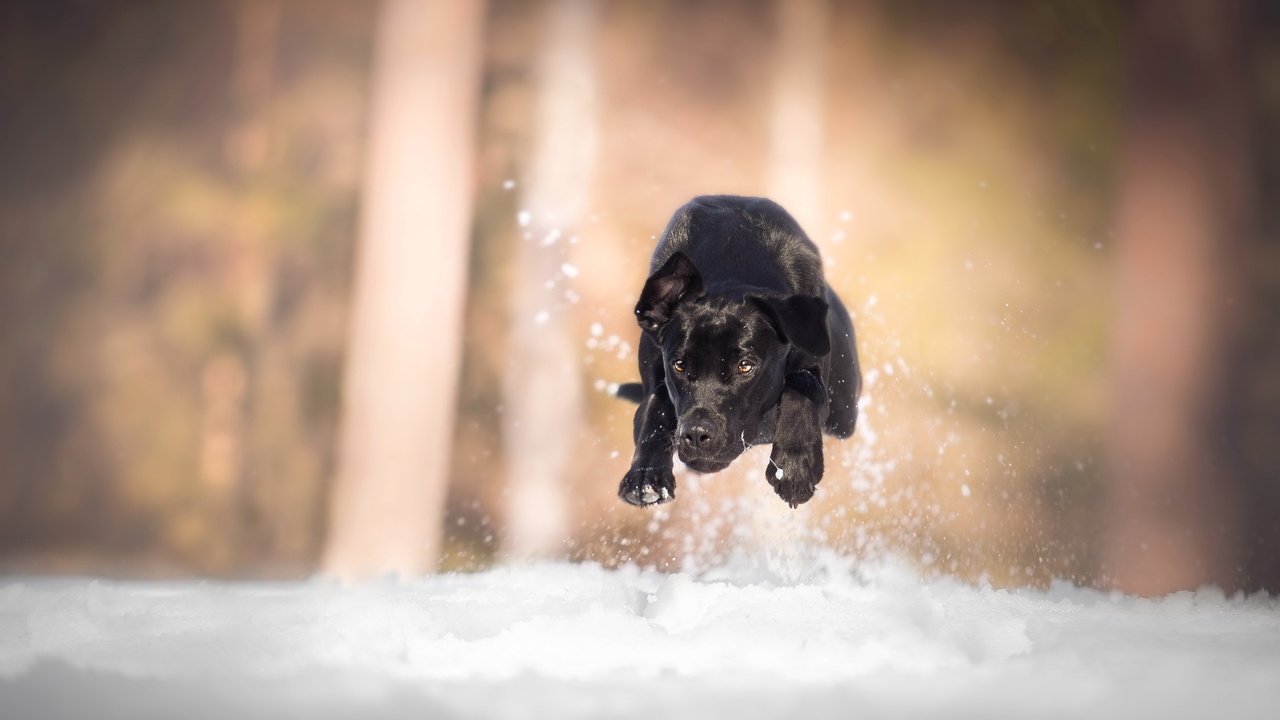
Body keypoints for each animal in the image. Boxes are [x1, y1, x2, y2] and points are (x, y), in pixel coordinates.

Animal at [616, 193, 865, 507]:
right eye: (680, 365)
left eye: (745, 365)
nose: (697, 434)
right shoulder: (656, 368)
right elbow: (654, 407)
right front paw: (646, 477)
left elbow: (801, 386)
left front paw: (794, 466)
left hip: (844, 413)